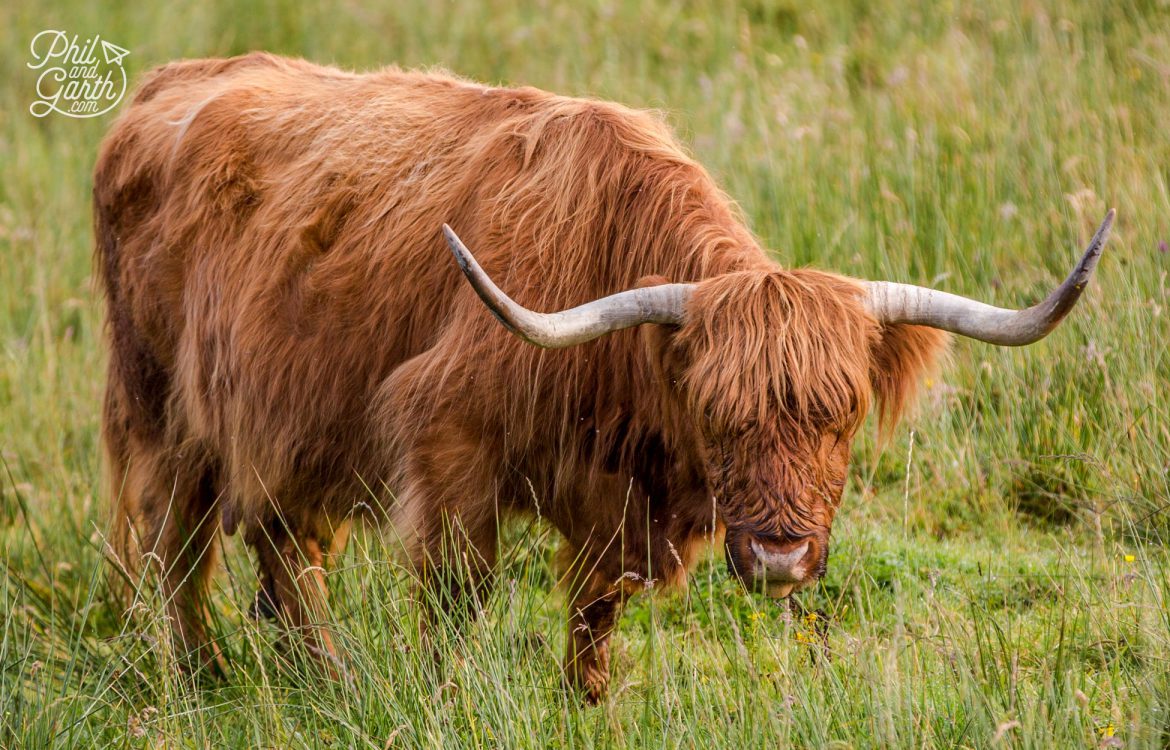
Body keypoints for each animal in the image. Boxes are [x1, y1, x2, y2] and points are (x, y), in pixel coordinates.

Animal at [93, 54, 1113, 702]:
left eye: (840, 416)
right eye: (718, 414)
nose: (781, 558)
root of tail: (168, 82)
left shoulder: (617, 507)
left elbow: (595, 611)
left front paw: (585, 704)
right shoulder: (450, 448)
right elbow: (457, 600)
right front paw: (445, 702)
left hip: (287, 424)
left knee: (283, 545)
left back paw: (322, 676)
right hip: (157, 406)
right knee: (174, 541)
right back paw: (204, 676)